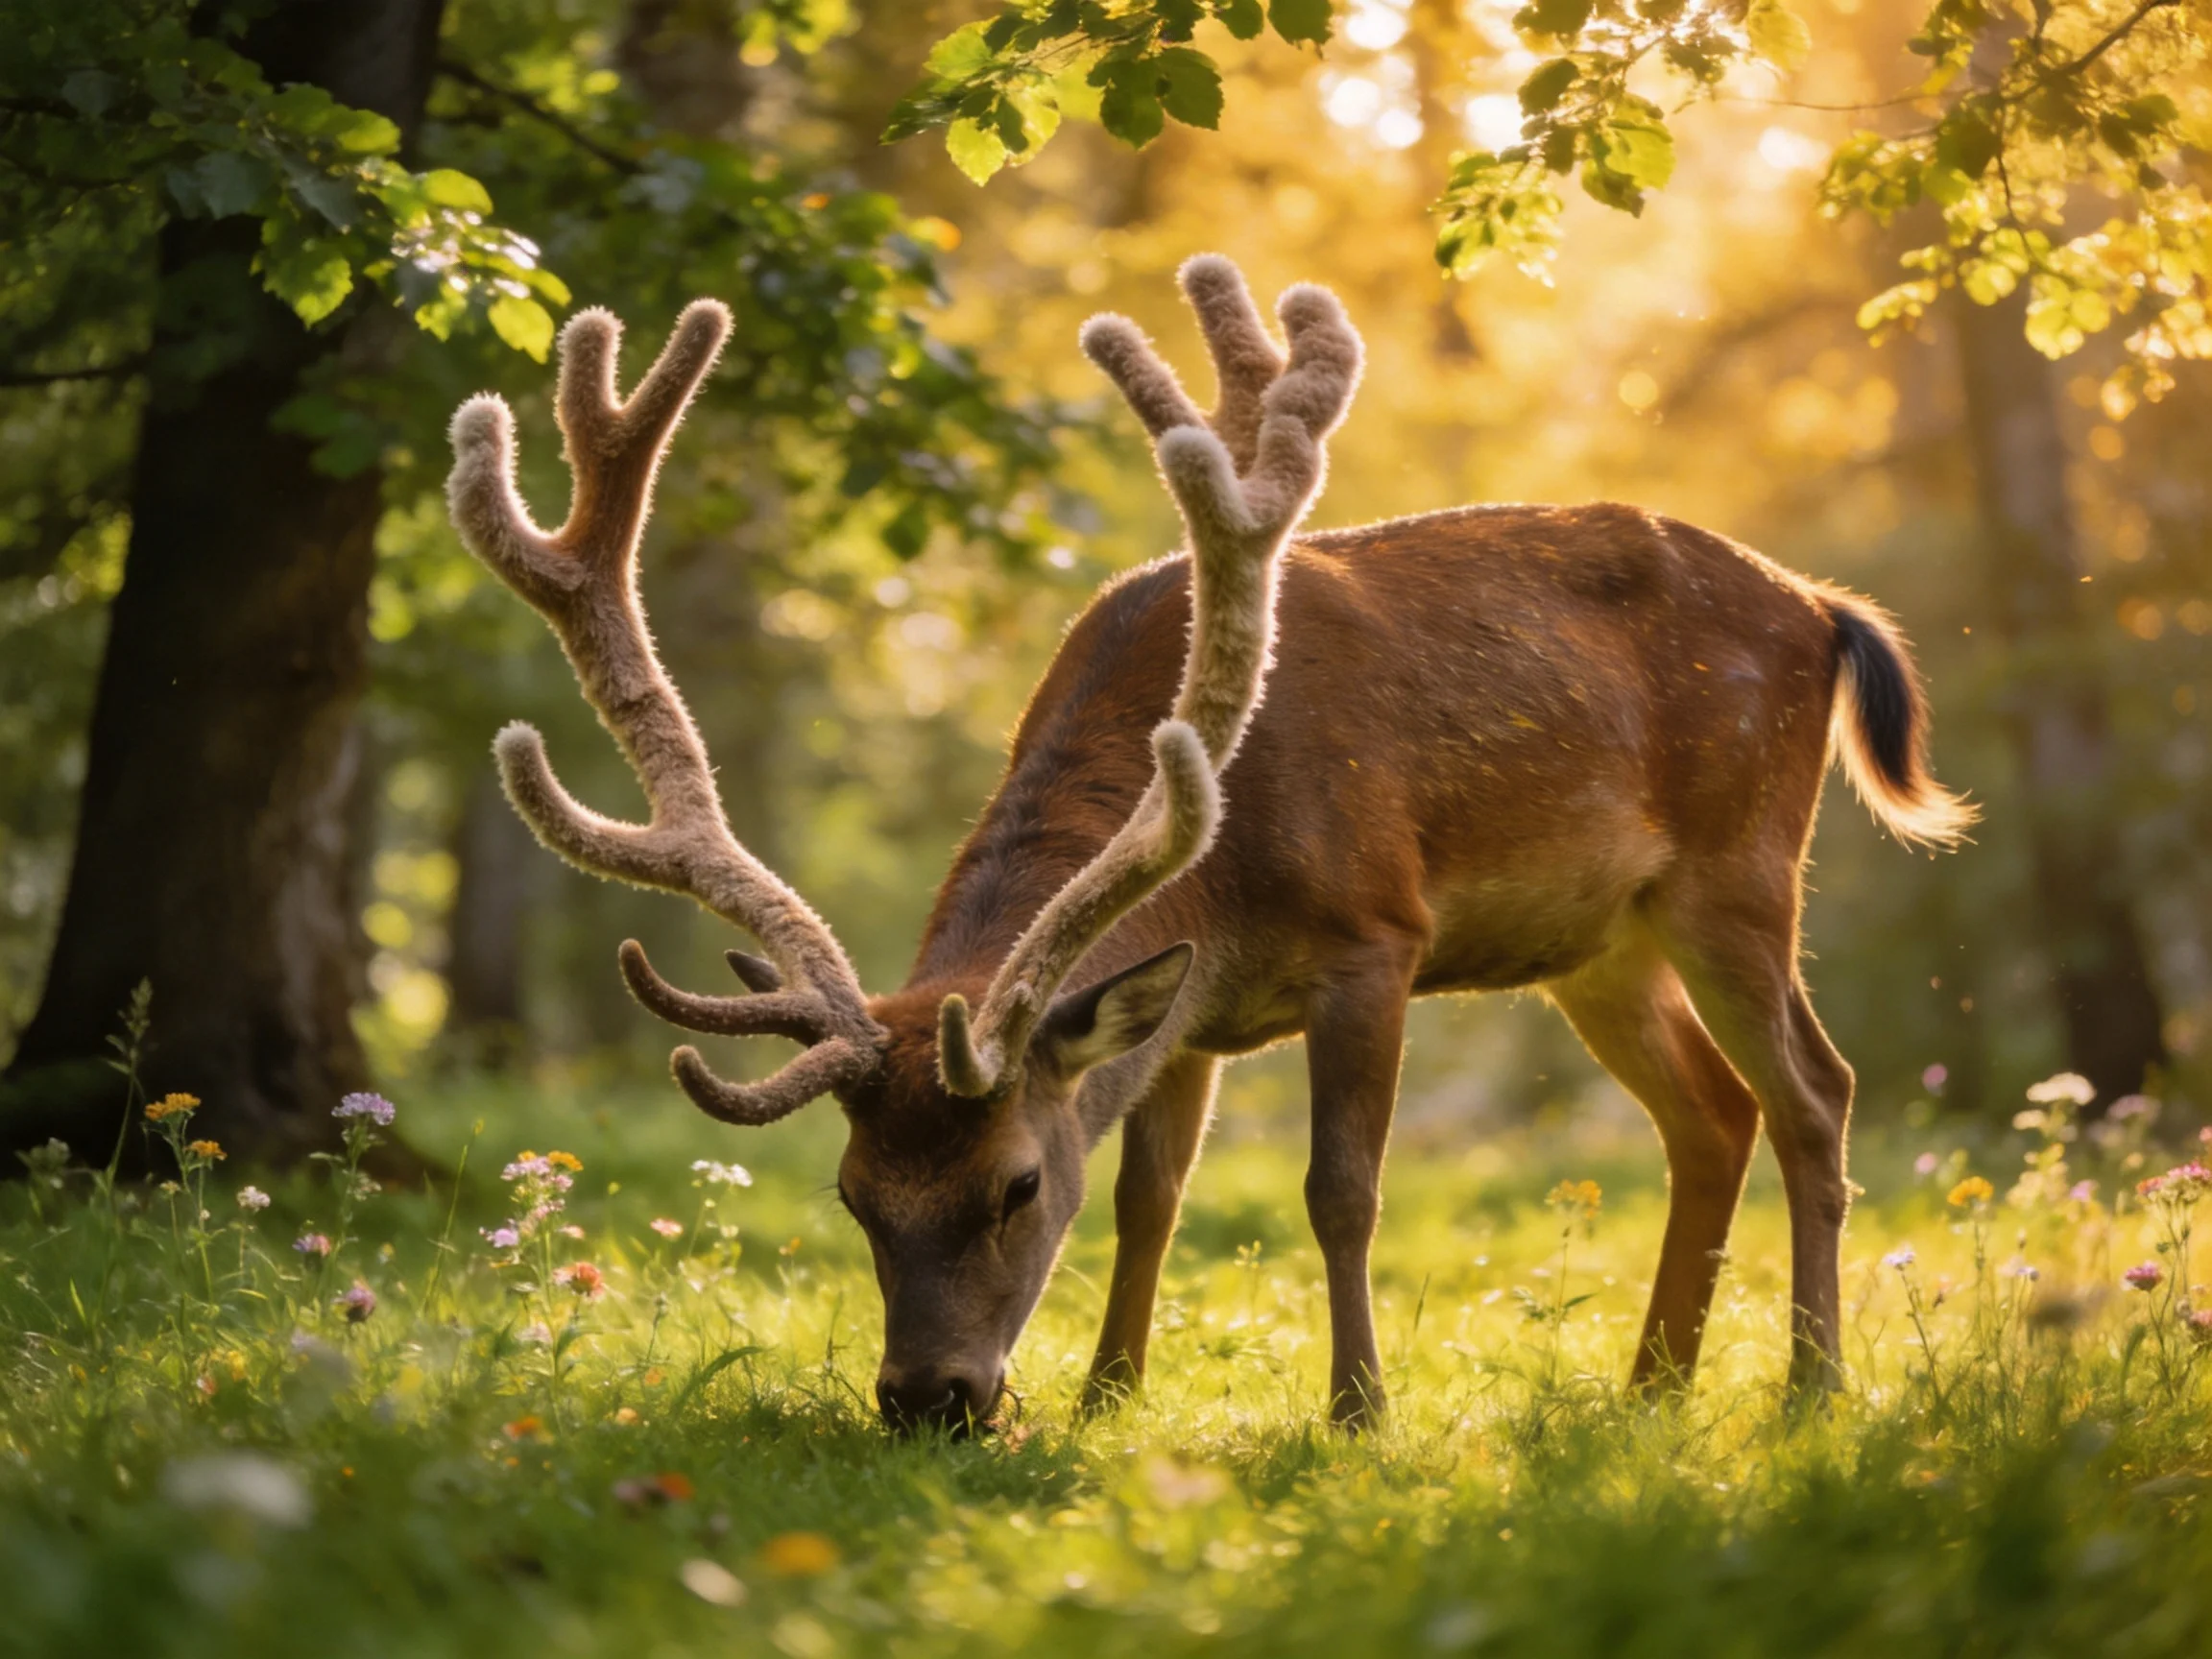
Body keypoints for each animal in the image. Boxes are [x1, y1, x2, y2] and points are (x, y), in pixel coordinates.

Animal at [446, 255, 1971, 1433]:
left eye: (1011, 1186)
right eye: (855, 1197)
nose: (932, 1402)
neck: (1220, 864)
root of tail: (1824, 607)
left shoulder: (1376, 935)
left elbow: (1339, 1191)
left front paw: (1357, 1411)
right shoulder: (1179, 1016)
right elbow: (1148, 1199)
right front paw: (1105, 1397)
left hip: (1739, 863)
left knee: (1816, 1092)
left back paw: (1812, 1388)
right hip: (1597, 945)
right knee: (1710, 1112)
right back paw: (1654, 1386)